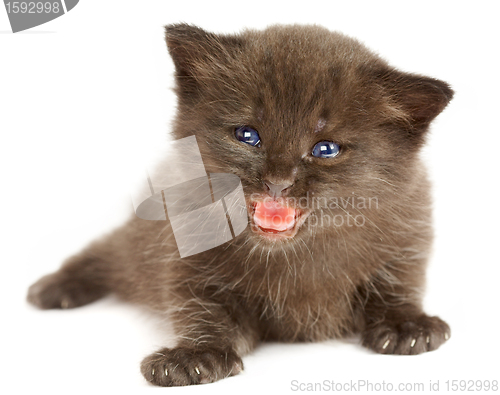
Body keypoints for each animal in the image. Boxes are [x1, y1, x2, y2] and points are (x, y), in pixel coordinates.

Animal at [29, 24, 456, 386]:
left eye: (325, 149)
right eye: (247, 135)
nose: (278, 181)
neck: (294, 259)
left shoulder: (406, 240)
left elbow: (397, 284)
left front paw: (406, 326)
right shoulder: (187, 260)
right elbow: (205, 310)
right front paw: (193, 356)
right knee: (104, 253)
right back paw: (54, 288)